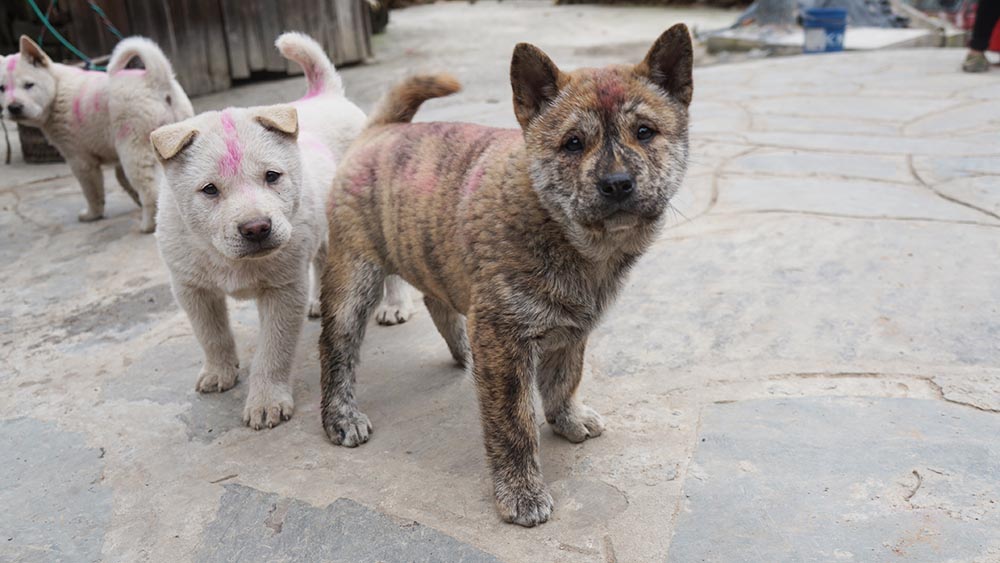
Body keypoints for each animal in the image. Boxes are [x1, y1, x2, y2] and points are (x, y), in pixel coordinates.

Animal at [1, 35, 191, 231]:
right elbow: (122, 180)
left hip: (134, 147)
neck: (56, 87)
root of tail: (155, 78)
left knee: (149, 187)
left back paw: (147, 225)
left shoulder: (79, 159)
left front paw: (92, 214)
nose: (13, 107)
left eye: (28, 85)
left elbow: (91, 190)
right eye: (1, 88)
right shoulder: (115, 155)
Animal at [147, 33, 410, 430]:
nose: (256, 228)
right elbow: (211, 334)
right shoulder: (191, 287)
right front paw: (219, 371)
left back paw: (395, 305)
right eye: (209, 190)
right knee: (321, 258)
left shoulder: (283, 290)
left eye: (272, 176)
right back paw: (318, 302)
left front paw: (267, 401)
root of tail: (324, 94)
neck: (228, 258)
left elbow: (273, 350)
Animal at [316, 24, 692, 528]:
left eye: (645, 133)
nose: (617, 184)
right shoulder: (503, 334)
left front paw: (568, 418)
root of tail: (378, 130)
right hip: (354, 275)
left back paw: (461, 352)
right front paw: (521, 492)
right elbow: (513, 422)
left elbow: (565, 377)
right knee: (336, 347)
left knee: (437, 299)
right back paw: (340, 416)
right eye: (573, 143)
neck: (560, 228)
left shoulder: (571, 326)